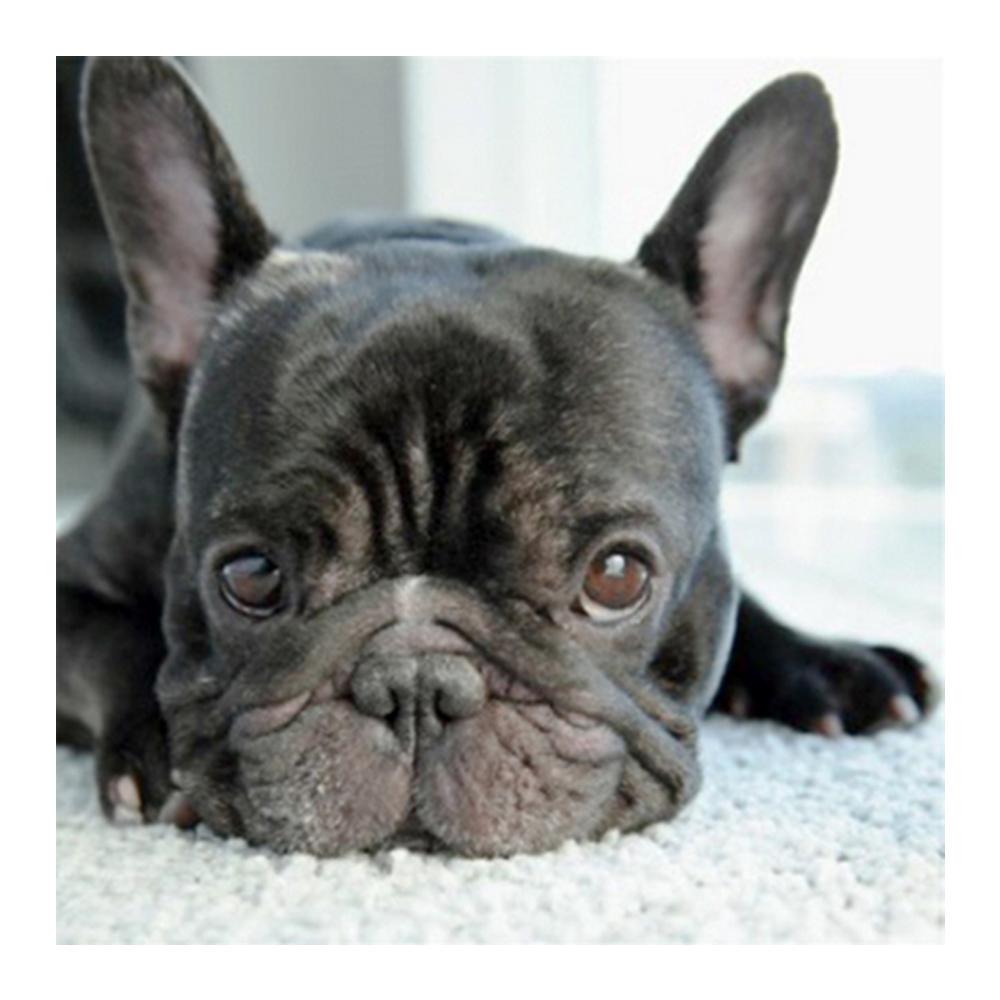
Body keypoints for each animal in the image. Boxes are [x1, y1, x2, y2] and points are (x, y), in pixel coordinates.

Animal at [56, 57, 937, 857]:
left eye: (617, 577)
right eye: (251, 575)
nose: (416, 682)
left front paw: (817, 659)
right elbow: (117, 642)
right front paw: (153, 751)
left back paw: (833, 669)